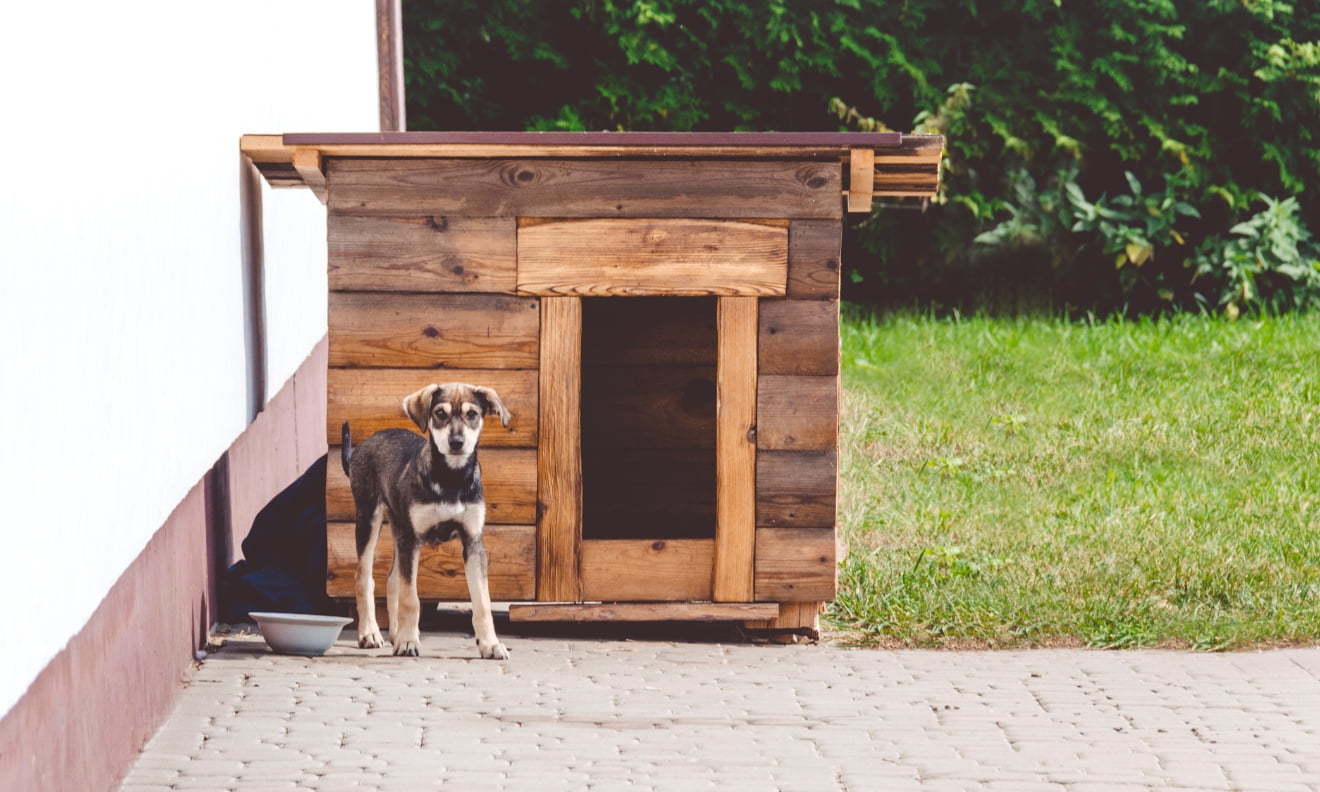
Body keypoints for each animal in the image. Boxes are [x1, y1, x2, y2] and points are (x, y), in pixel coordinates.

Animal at [340, 380, 509, 660]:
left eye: (472, 414)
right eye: (439, 413)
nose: (456, 442)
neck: (451, 479)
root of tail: (360, 449)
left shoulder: (473, 543)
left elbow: (482, 601)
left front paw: (490, 644)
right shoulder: (412, 540)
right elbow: (412, 598)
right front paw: (409, 642)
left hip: (398, 529)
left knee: (391, 580)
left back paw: (395, 633)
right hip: (369, 518)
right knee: (364, 577)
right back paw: (370, 634)